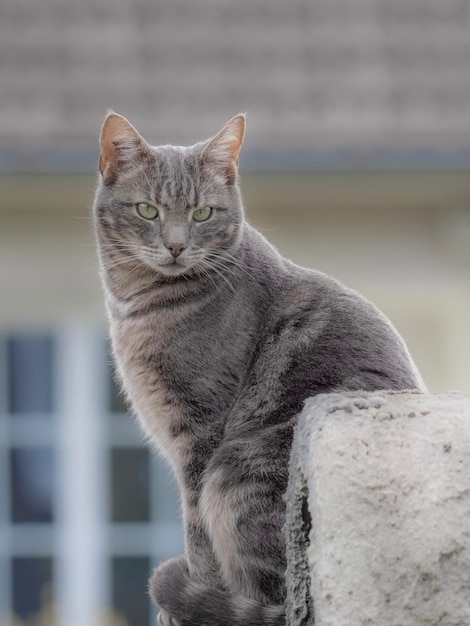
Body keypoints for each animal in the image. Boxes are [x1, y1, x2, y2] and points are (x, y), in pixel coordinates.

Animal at [92, 113, 426, 624]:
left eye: (203, 214)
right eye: (147, 210)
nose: (175, 246)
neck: (140, 303)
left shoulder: (201, 435)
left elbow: (198, 537)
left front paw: (189, 600)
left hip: (237, 473)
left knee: (273, 595)